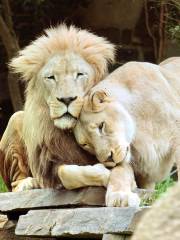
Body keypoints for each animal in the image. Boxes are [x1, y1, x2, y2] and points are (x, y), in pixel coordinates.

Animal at [0, 24, 114, 191]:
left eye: (80, 74)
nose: (66, 99)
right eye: (51, 77)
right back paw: (28, 184)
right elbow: (68, 172)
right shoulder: (51, 166)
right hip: (15, 119)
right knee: (15, 183)